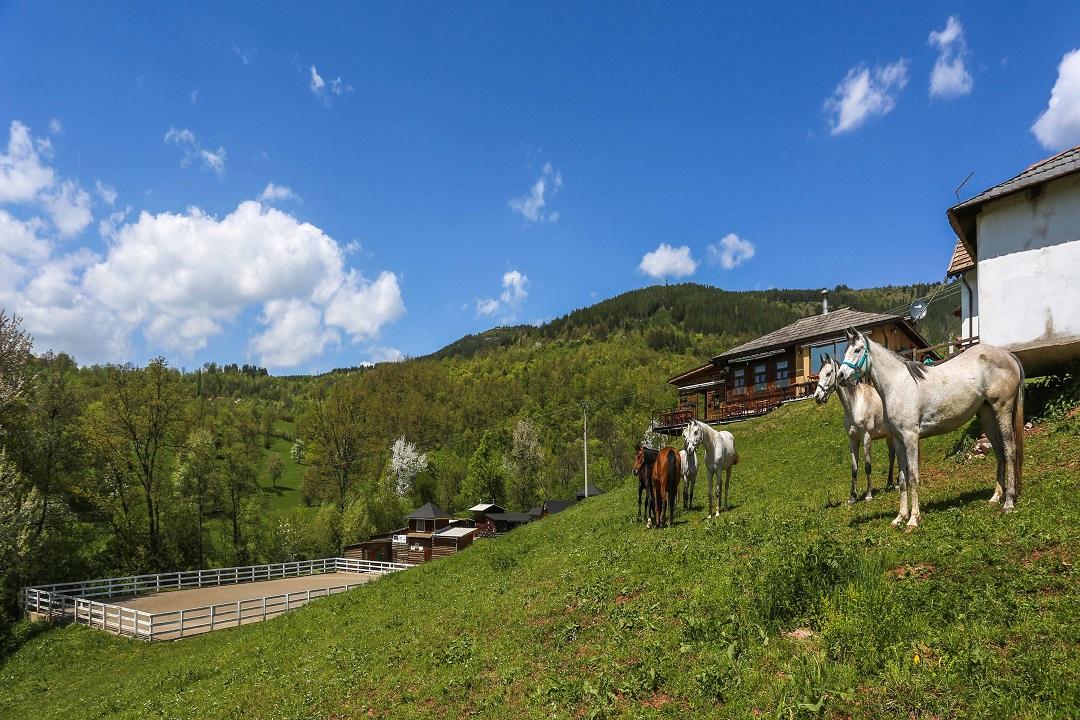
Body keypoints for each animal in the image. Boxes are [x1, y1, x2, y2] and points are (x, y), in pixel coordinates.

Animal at [814, 354, 900, 503]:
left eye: (829, 373)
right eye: (819, 375)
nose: (817, 397)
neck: (856, 404)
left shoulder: (866, 438)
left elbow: (867, 466)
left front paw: (869, 494)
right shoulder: (853, 440)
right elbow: (854, 468)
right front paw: (852, 497)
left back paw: (900, 482)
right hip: (889, 436)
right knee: (892, 456)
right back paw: (890, 484)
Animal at [836, 328, 1024, 529]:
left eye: (857, 350)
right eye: (845, 350)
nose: (840, 376)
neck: (897, 385)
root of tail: (1008, 355)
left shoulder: (910, 437)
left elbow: (912, 477)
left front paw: (913, 519)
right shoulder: (898, 440)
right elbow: (902, 480)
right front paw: (900, 517)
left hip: (1002, 410)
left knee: (1009, 451)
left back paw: (1009, 502)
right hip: (987, 415)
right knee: (999, 452)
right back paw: (996, 497)